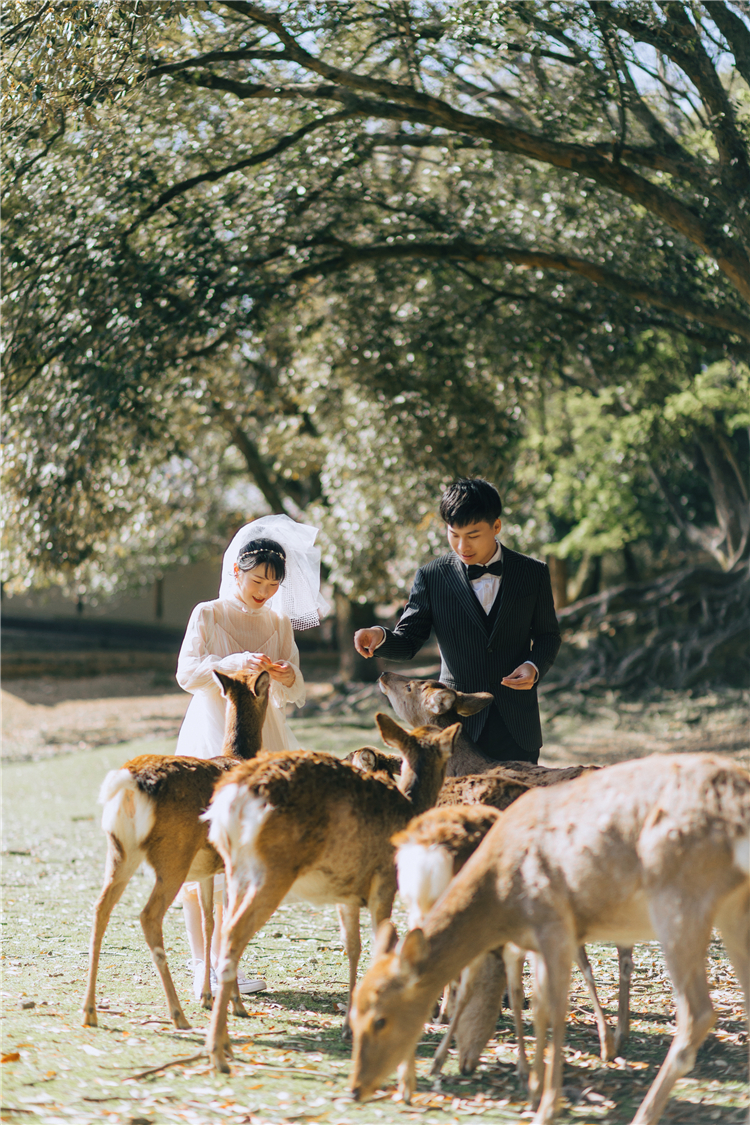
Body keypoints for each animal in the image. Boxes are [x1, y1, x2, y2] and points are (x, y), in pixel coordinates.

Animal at [81, 666, 273, 1030]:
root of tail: (129, 782)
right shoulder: (234, 861)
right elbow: (229, 922)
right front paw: (236, 1005)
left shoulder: (207, 869)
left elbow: (210, 922)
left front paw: (209, 996)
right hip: (173, 856)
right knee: (148, 916)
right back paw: (178, 1015)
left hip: (120, 851)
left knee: (100, 908)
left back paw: (90, 1011)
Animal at [201, 711, 458, 1071]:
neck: (410, 808)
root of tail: (231, 800)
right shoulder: (384, 881)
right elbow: (381, 944)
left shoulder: (346, 894)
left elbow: (352, 947)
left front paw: (349, 1026)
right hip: (274, 870)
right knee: (234, 934)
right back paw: (218, 1050)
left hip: (236, 868)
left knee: (223, 926)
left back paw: (225, 1036)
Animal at [353, 756, 750, 1125]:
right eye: (355, 1016)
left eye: (381, 1019)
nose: (357, 1088)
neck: (500, 898)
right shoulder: (536, 940)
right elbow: (538, 1003)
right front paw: (533, 1085)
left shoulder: (551, 925)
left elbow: (548, 1003)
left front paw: (544, 1099)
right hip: (730, 911)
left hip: (678, 900)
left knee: (696, 1011)